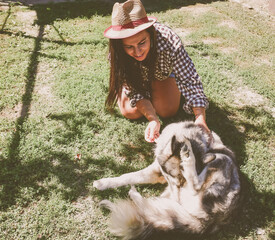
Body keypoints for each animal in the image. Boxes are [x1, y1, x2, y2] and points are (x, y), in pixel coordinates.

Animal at [94, 123, 243, 239]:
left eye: (180, 181)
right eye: (172, 176)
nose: (178, 190)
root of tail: (211, 221)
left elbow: (129, 175)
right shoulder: (157, 170)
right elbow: (130, 176)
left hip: (220, 161)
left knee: (194, 186)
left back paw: (188, 158)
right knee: (151, 207)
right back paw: (135, 195)